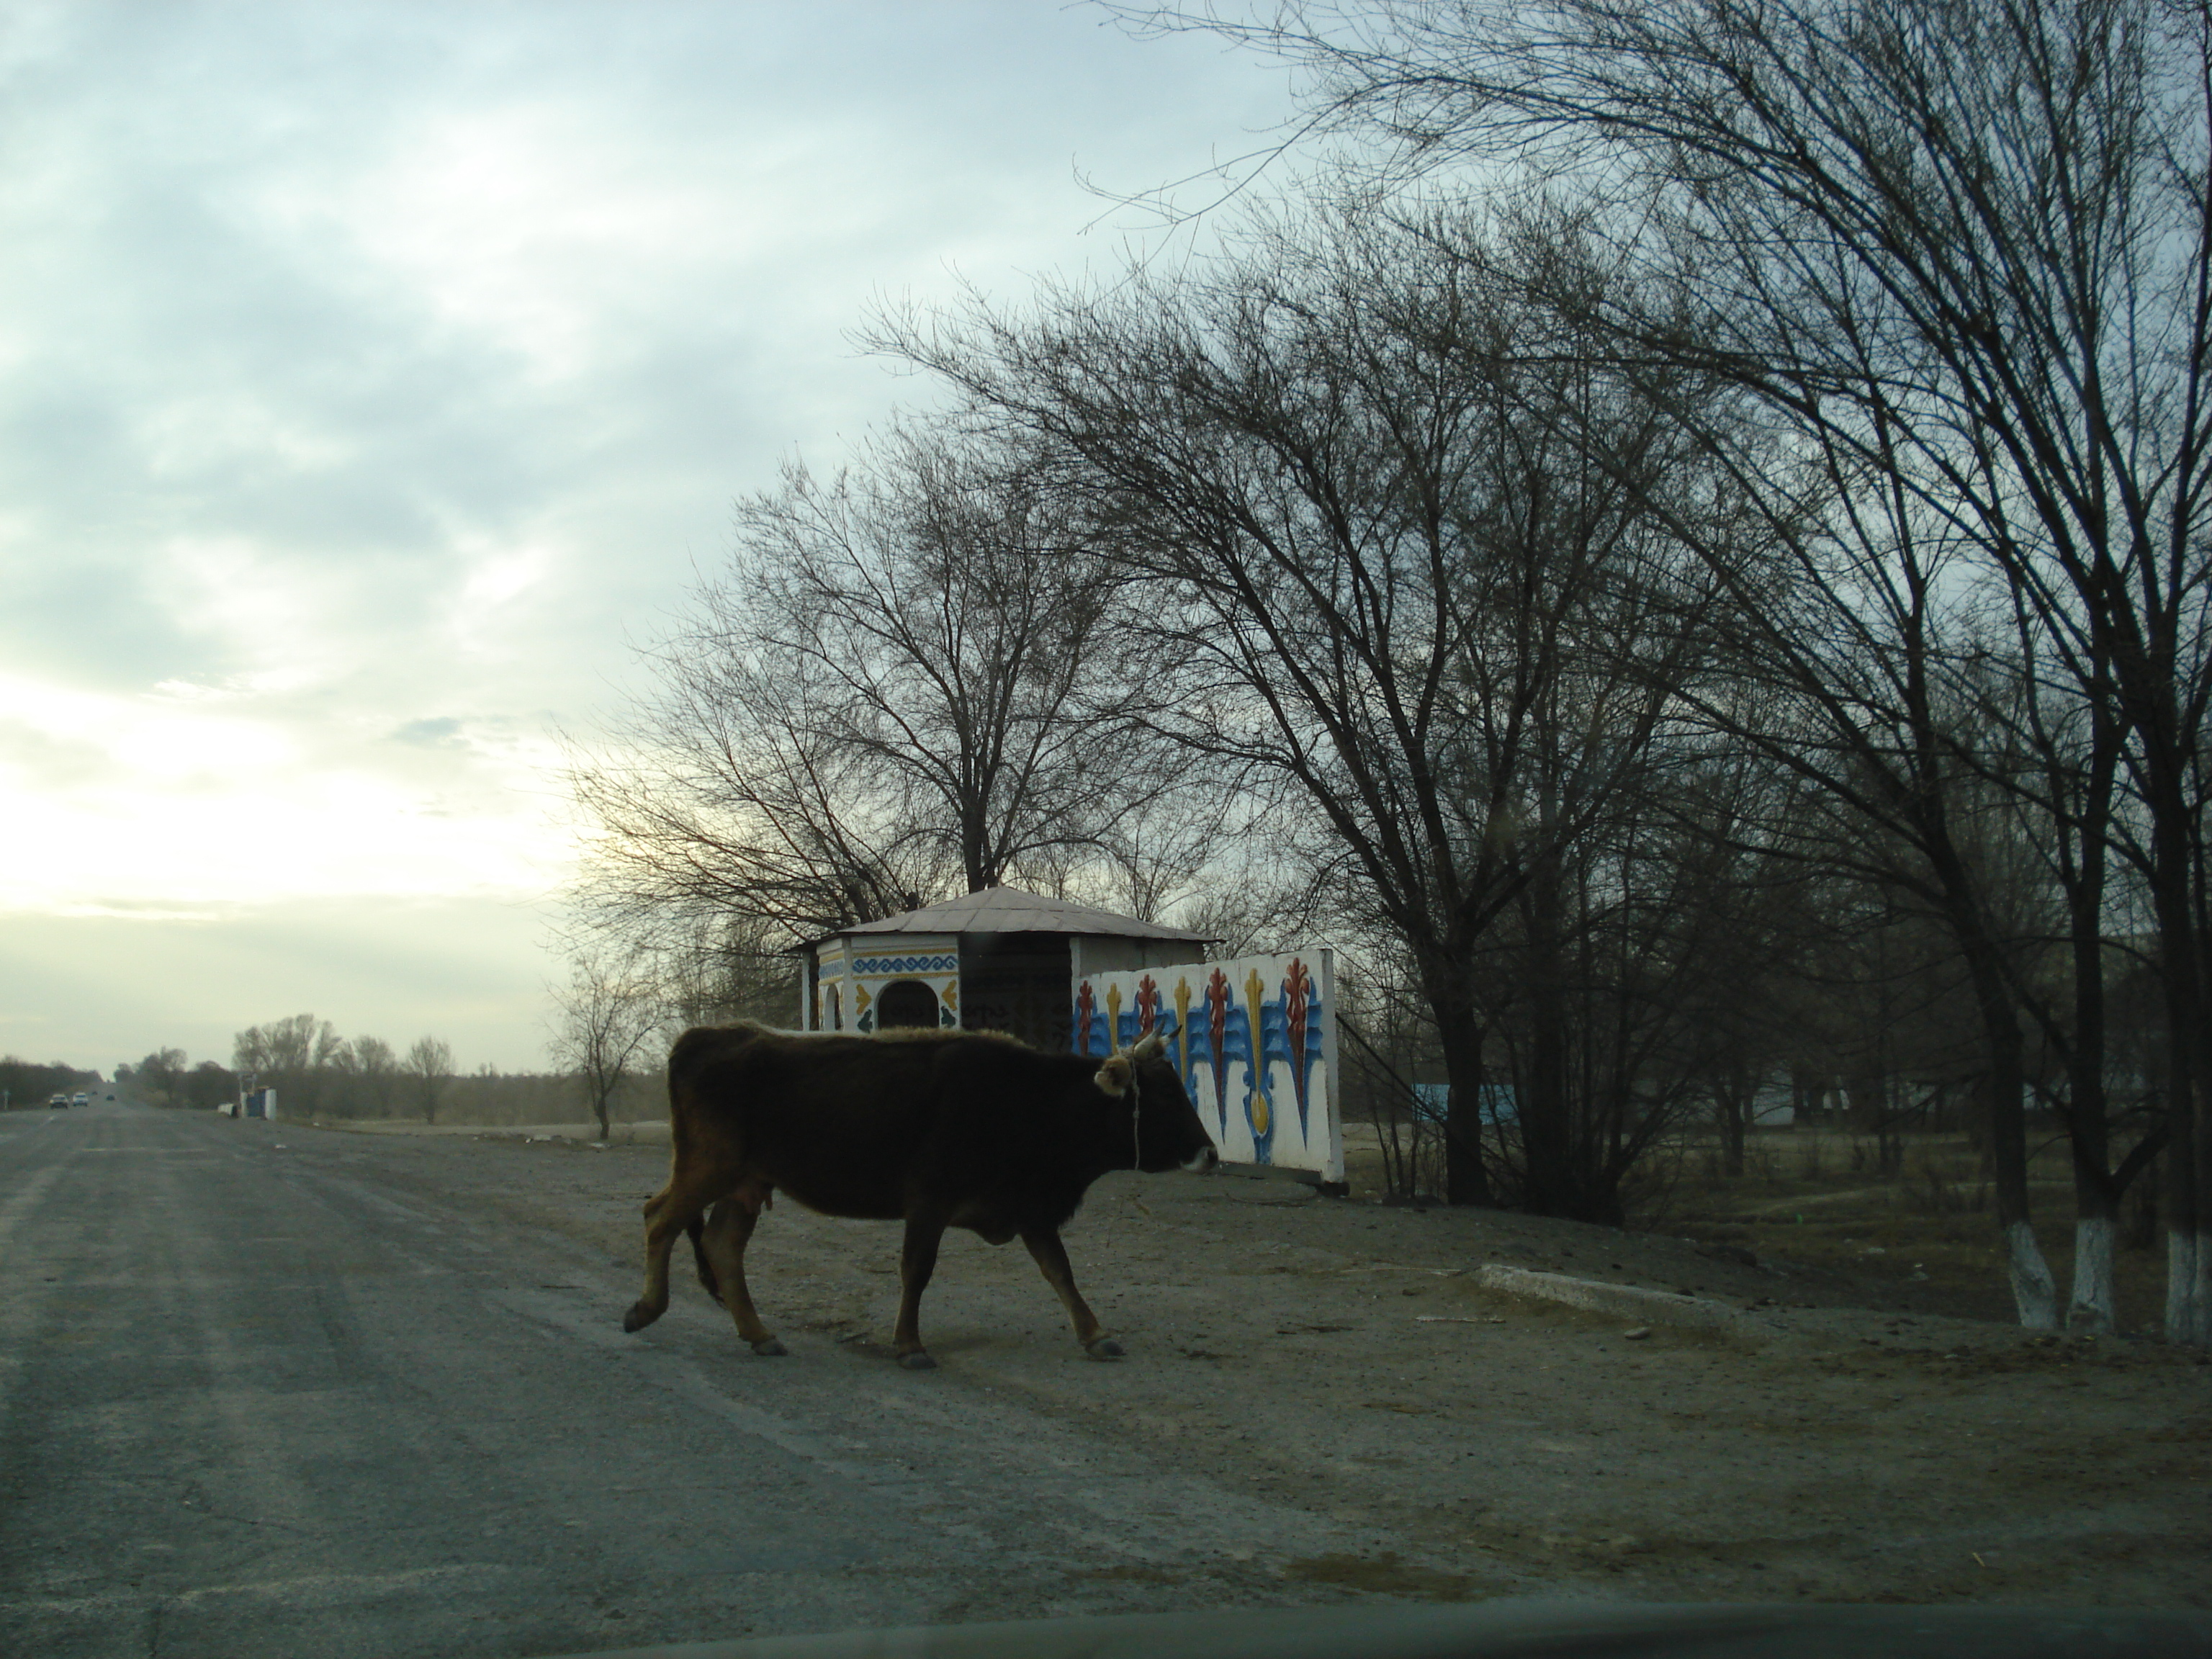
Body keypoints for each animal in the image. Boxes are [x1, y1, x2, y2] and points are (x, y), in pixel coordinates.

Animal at [615, 1026, 1220, 1380]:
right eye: (1166, 1095)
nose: (1210, 1153)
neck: (1027, 1100)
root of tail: (706, 1036)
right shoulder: (929, 1202)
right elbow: (917, 1271)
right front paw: (909, 1344)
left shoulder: (1031, 1210)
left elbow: (1061, 1273)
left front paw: (1095, 1334)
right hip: (707, 1168)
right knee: (658, 1219)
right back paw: (647, 1308)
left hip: (743, 1184)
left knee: (721, 1246)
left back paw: (759, 1334)